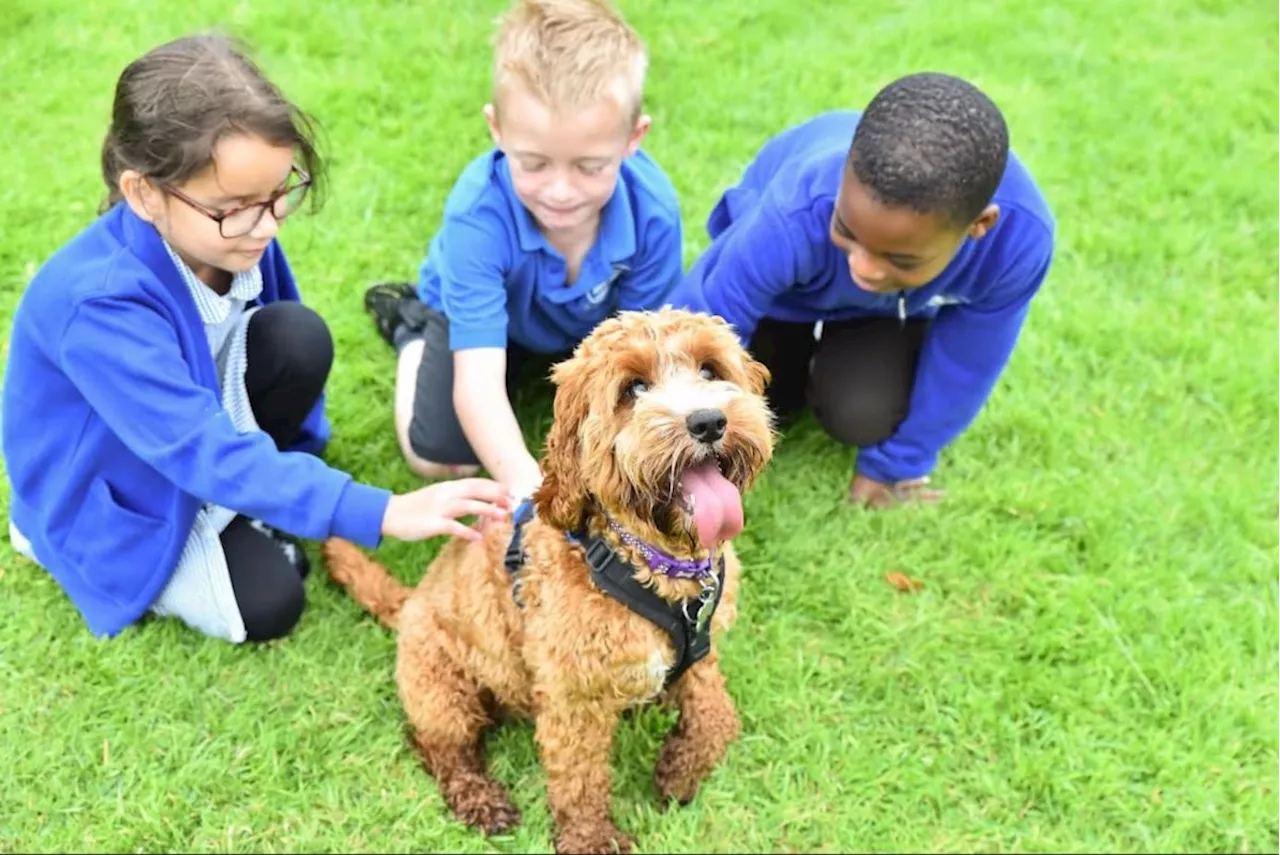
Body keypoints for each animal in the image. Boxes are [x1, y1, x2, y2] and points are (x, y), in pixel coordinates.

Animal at [325, 308, 773, 855]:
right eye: (633, 388)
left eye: (711, 370)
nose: (708, 421)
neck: (652, 566)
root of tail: (410, 603)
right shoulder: (571, 696)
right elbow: (579, 777)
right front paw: (592, 838)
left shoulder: (700, 657)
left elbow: (718, 717)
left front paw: (678, 772)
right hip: (440, 686)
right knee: (438, 744)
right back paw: (480, 800)